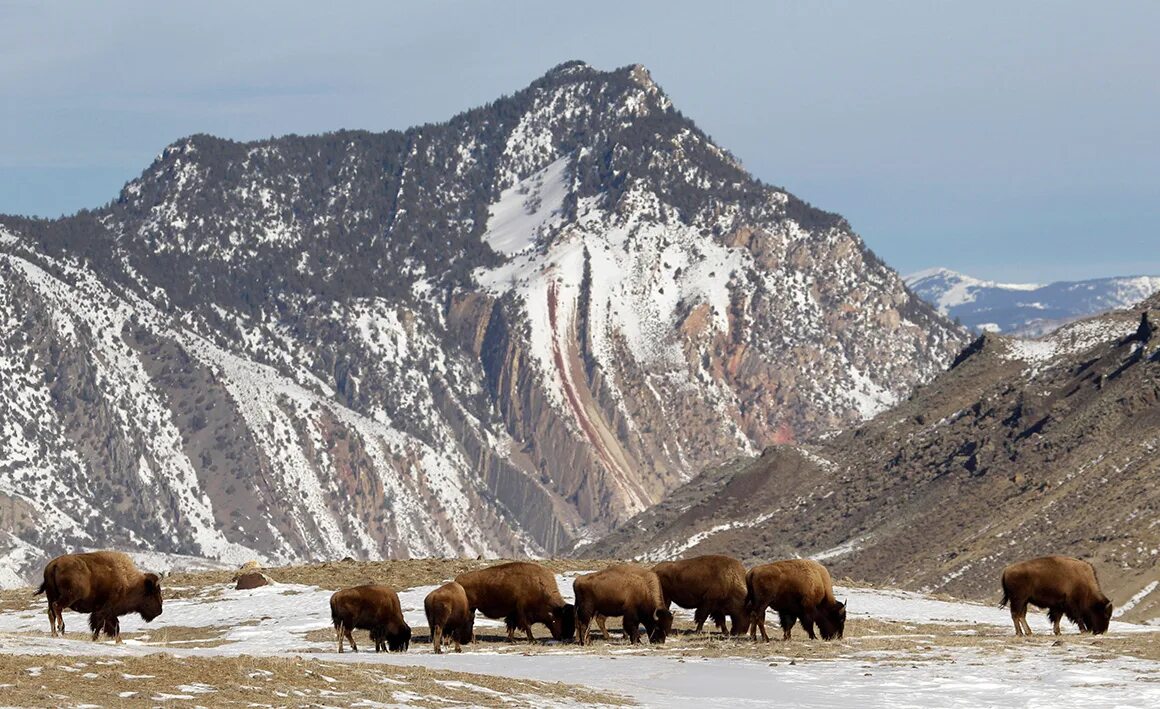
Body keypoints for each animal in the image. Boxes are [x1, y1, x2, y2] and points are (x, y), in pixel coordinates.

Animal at [34, 550, 162, 645]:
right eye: (154, 593)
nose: (160, 611)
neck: (128, 581)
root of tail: (54, 565)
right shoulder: (107, 610)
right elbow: (109, 625)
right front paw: (114, 640)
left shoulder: (104, 611)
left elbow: (106, 625)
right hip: (68, 597)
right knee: (57, 607)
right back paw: (61, 628)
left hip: (50, 596)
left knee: (51, 613)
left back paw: (54, 634)